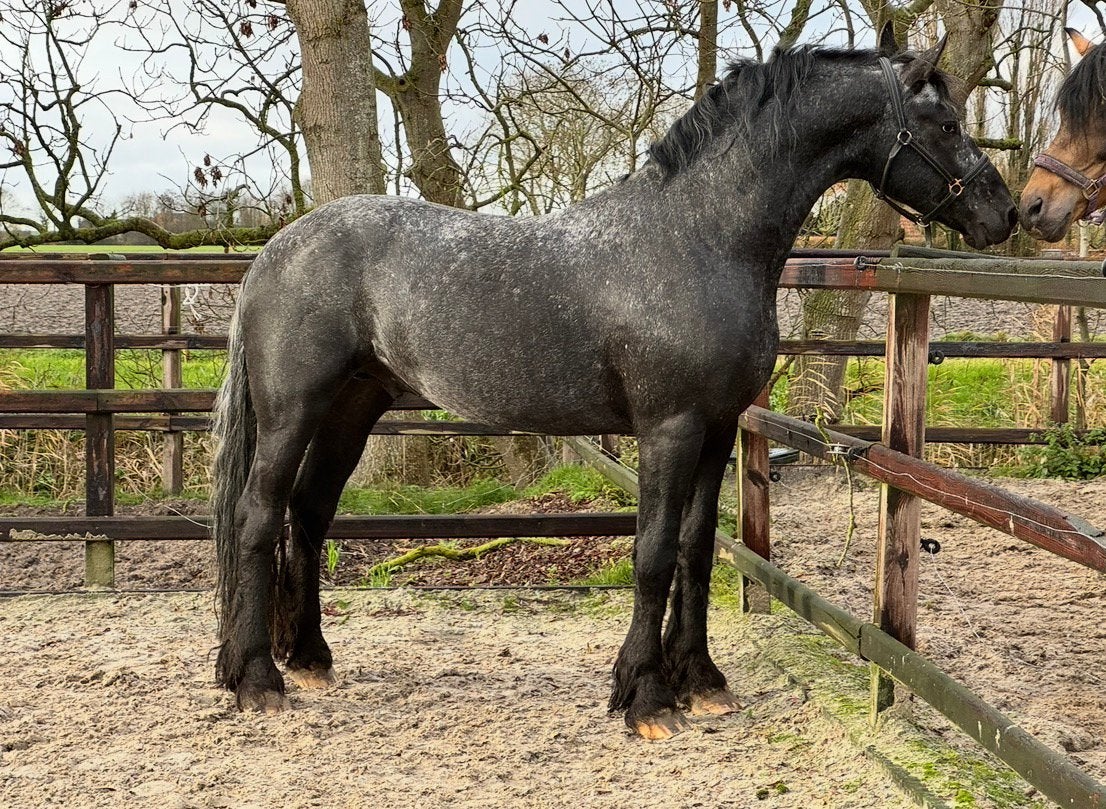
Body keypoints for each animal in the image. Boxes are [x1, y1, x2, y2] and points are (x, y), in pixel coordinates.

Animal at [212, 26, 1016, 741]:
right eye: (945, 122)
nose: (1004, 213)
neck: (699, 238)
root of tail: (274, 251)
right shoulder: (670, 427)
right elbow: (653, 554)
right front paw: (647, 697)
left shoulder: (717, 430)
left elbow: (696, 547)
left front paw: (702, 681)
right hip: (292, 411)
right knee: (259, 515)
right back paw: (257, 679)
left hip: (353, 407)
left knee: (310, 512)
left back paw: (309, 658)